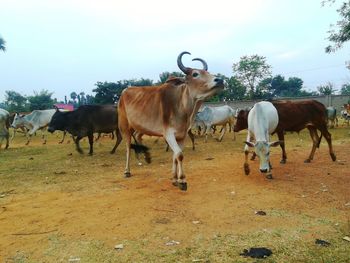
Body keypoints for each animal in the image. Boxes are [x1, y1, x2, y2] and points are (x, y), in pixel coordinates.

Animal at [116, 52, 223, 192]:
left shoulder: (182, 135)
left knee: (137, 137)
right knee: (128, 146)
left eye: (208, 72)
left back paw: (144, 157)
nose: (220, 80)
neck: (181, 105)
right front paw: (182, 180)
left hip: (138, 127)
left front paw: (174, 179)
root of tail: (124, 92)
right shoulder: (168, 134)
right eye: (195, 74)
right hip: (124, 126)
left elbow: (175, 156)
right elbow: (179, 155)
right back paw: (127, 171)